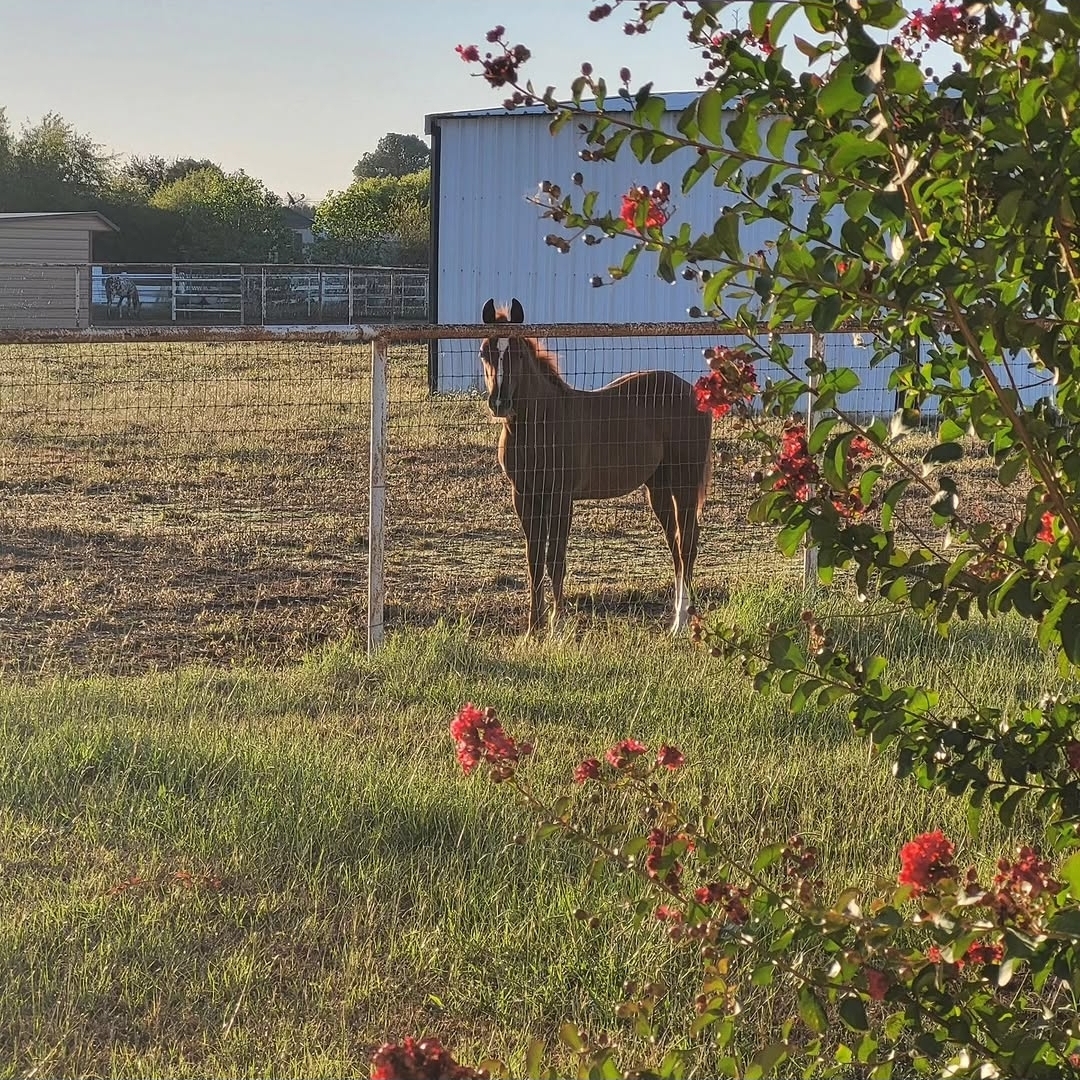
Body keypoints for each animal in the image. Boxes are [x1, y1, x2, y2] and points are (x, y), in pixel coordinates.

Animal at [480, 298, 713, 635]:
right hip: (658, 487)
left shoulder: (560, 497)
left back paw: (681, 624)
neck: (541, 422)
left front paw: (557, 626)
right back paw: (677, 619)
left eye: (518, 353)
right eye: (485, 351)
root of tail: (693, 392)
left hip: (685, 480)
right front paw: (533, 629)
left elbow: (555, 559)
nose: (499, 403)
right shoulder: (524, 496)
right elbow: (533, 559)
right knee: (676, 546)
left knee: (687, 545)